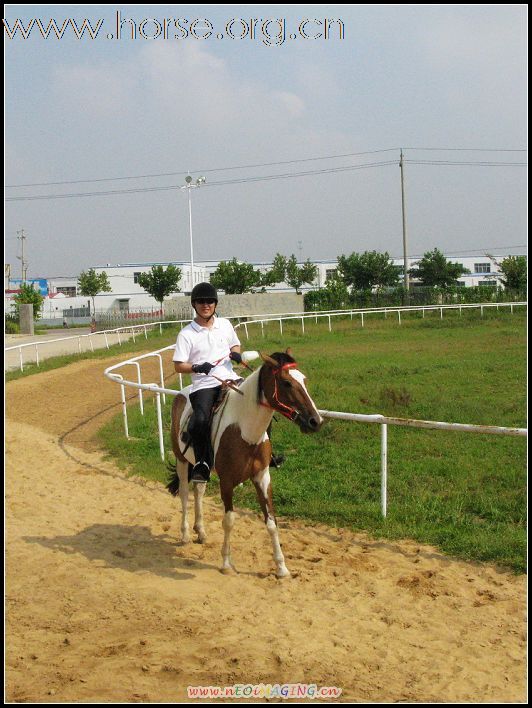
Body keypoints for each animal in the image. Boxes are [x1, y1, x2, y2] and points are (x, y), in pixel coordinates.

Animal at [168, 348, 322, 576]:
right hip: (181, 460)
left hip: (201, 468)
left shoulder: (262, 477)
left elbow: (271, 521)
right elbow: (229, 521)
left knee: (199, 491)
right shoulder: (226, 481)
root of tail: (181, 394)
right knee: (186, 495)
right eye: (286, 383)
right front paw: (225, 563)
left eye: (303, 379)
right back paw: (186, 534)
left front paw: (281, 567)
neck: (245, 431)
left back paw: (201, 531)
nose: (315, 421)